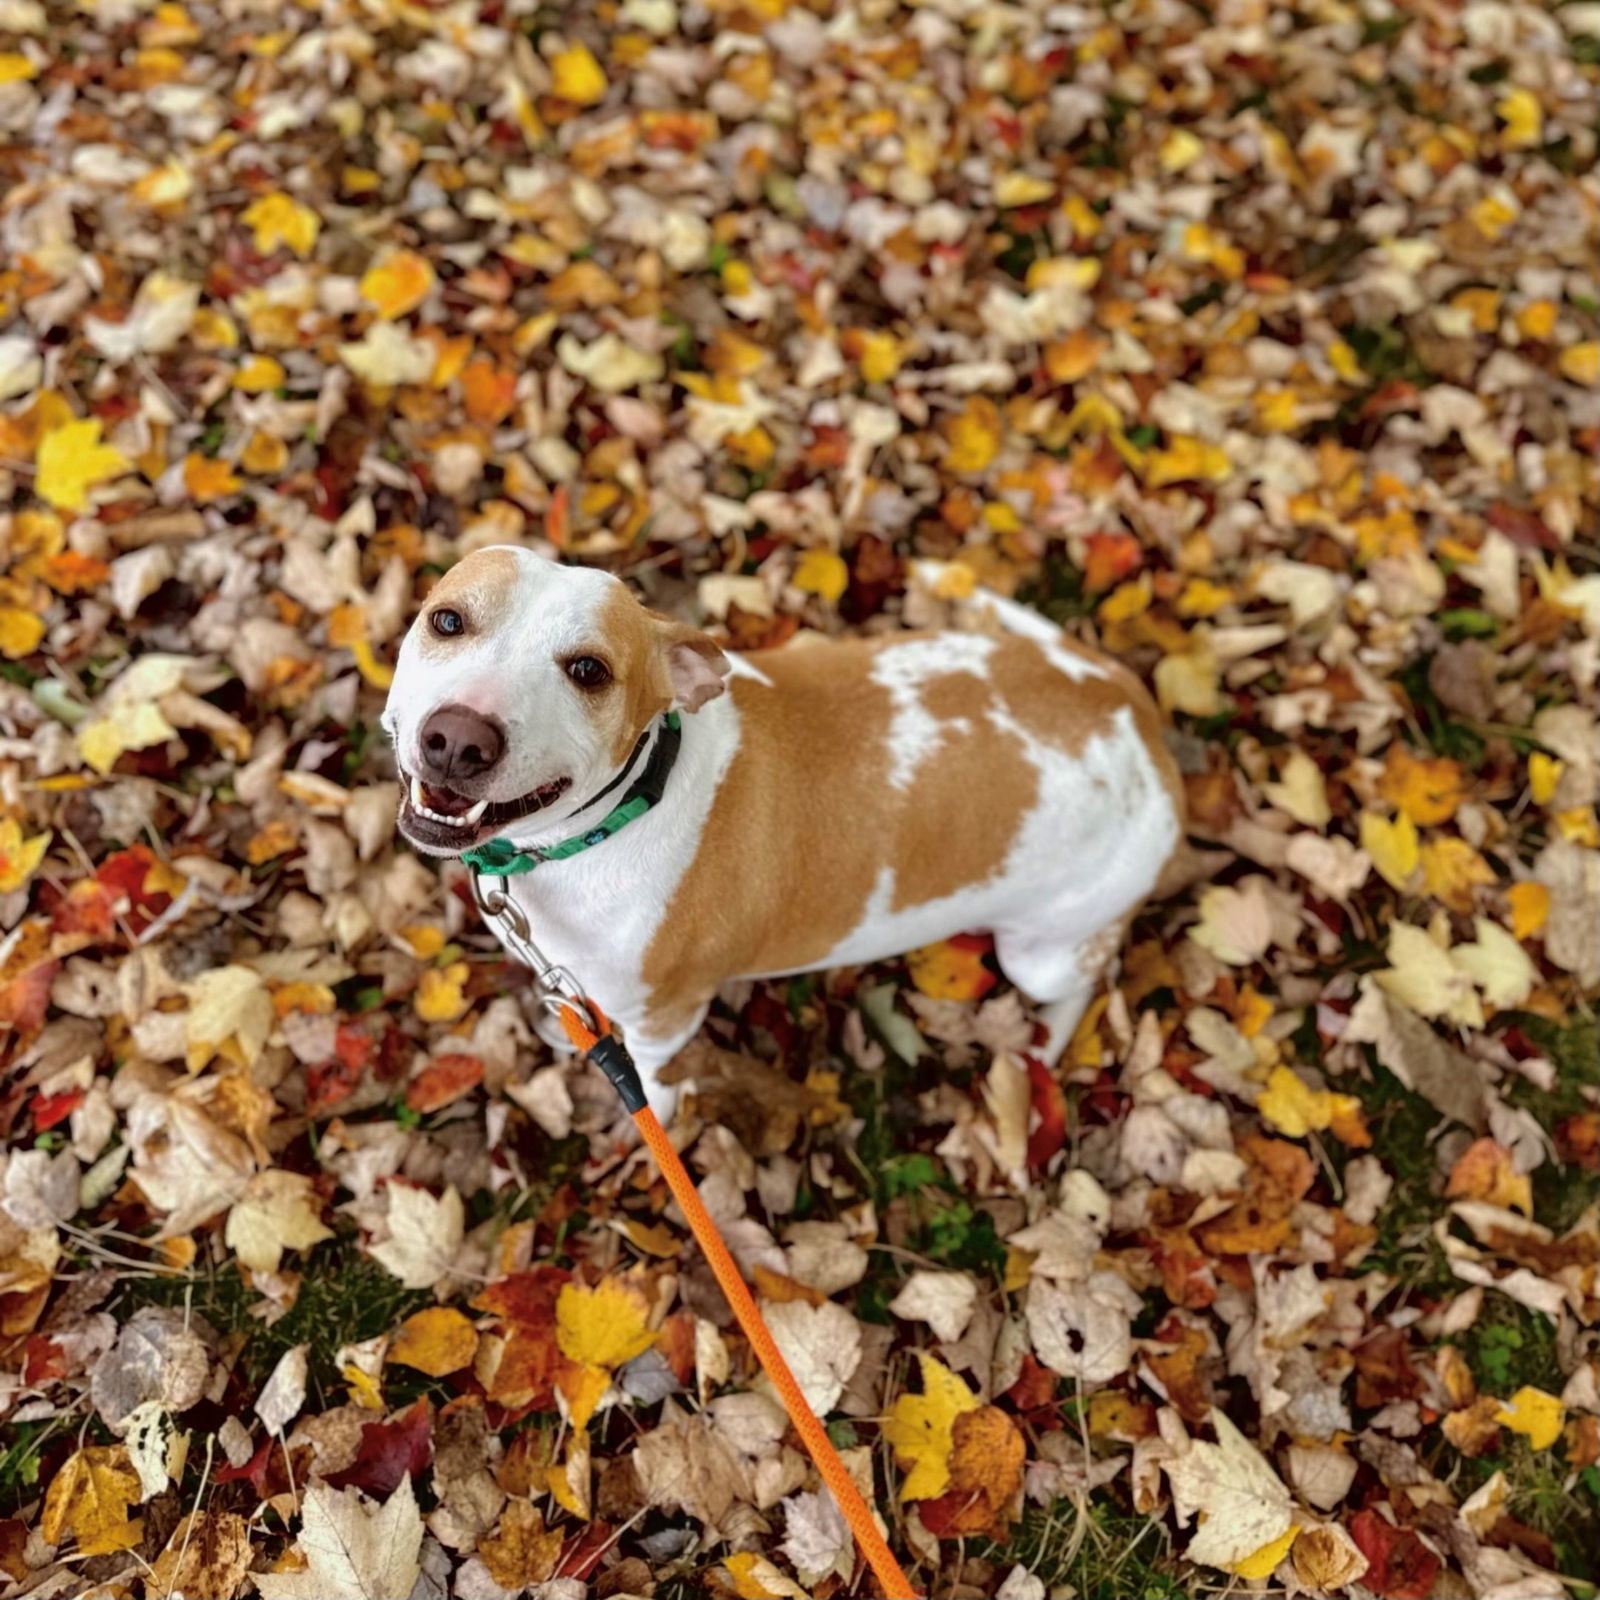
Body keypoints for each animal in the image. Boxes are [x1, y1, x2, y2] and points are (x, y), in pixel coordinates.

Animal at [384, 547, 1190, 1113]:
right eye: (447, 620)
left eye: (588, 670)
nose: (458, 740)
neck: (619, 813)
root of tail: (1132, 708)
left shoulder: (666, 1019)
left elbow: (653, 1084)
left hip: (1041, 954)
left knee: (1088, 974)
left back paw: (1045, 1044)